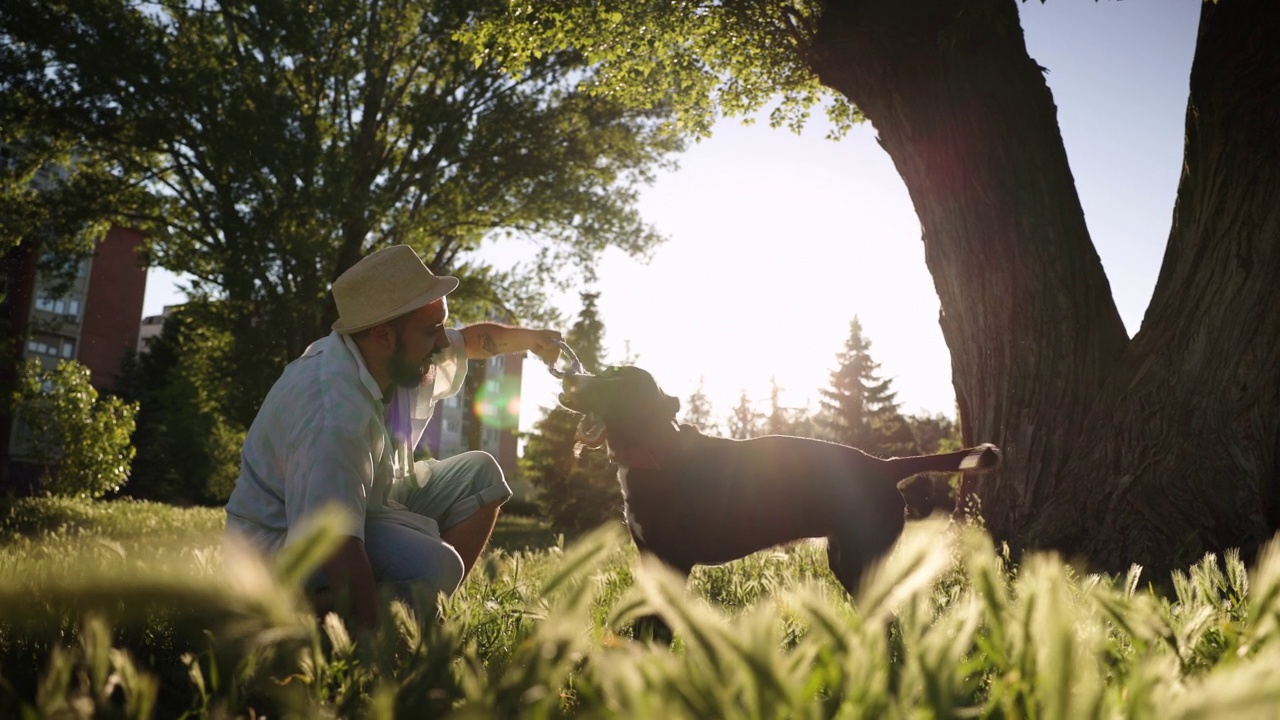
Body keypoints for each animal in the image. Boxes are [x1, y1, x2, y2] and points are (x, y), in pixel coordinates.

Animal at [560, 363, 998, 594]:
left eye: (618, 381)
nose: (568, 377)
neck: (656, 451)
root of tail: (882, 464)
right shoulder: (652, 558)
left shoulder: (674, 561)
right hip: (844, 559)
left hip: (861, 561)